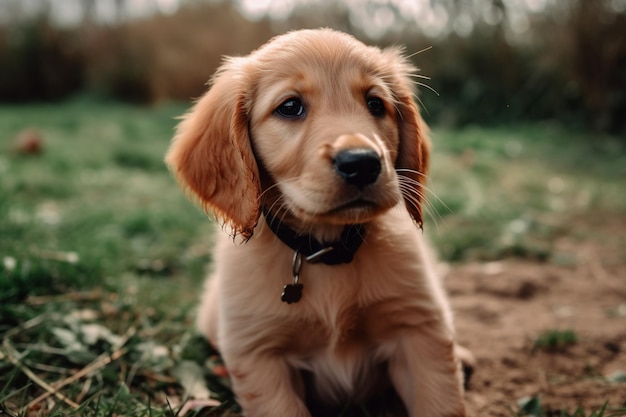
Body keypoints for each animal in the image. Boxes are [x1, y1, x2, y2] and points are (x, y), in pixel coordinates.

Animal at [165, 28, 464, 416]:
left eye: (376, 104)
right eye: (290, 107)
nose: (362, 162)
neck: (325, 251)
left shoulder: (419, 329)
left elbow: (441, 402)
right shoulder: (260, 355)